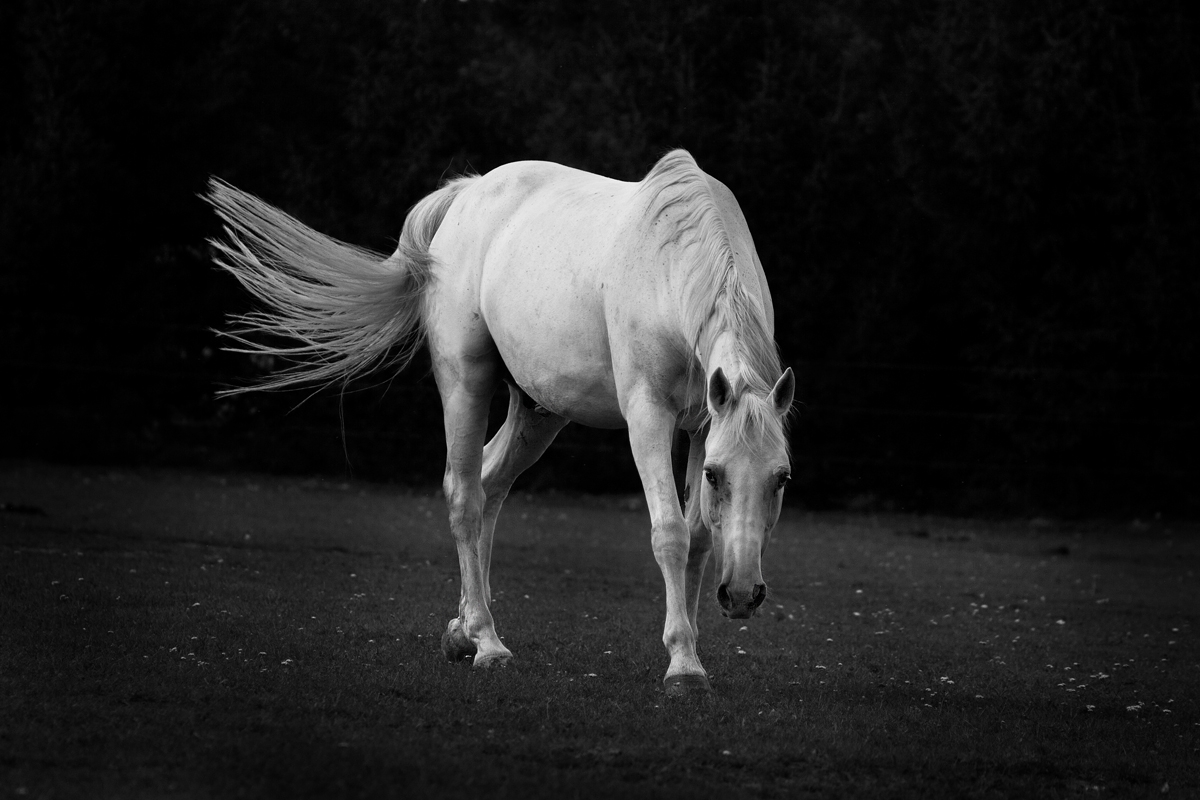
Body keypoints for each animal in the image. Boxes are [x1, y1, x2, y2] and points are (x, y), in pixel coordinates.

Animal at [207, 150, 795, 696]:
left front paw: (689, 655)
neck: (670, 263)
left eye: (781, 477)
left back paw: (463, 629)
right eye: (717, 475)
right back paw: (487, 644)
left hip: (538, 413)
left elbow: (698, 539)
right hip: (465, 382)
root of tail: (467, 194)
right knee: (465, 494)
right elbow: (670, 533)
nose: (743, 595)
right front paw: (682, 666)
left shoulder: (700, 426)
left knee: (489, 485)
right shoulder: (649, 416)